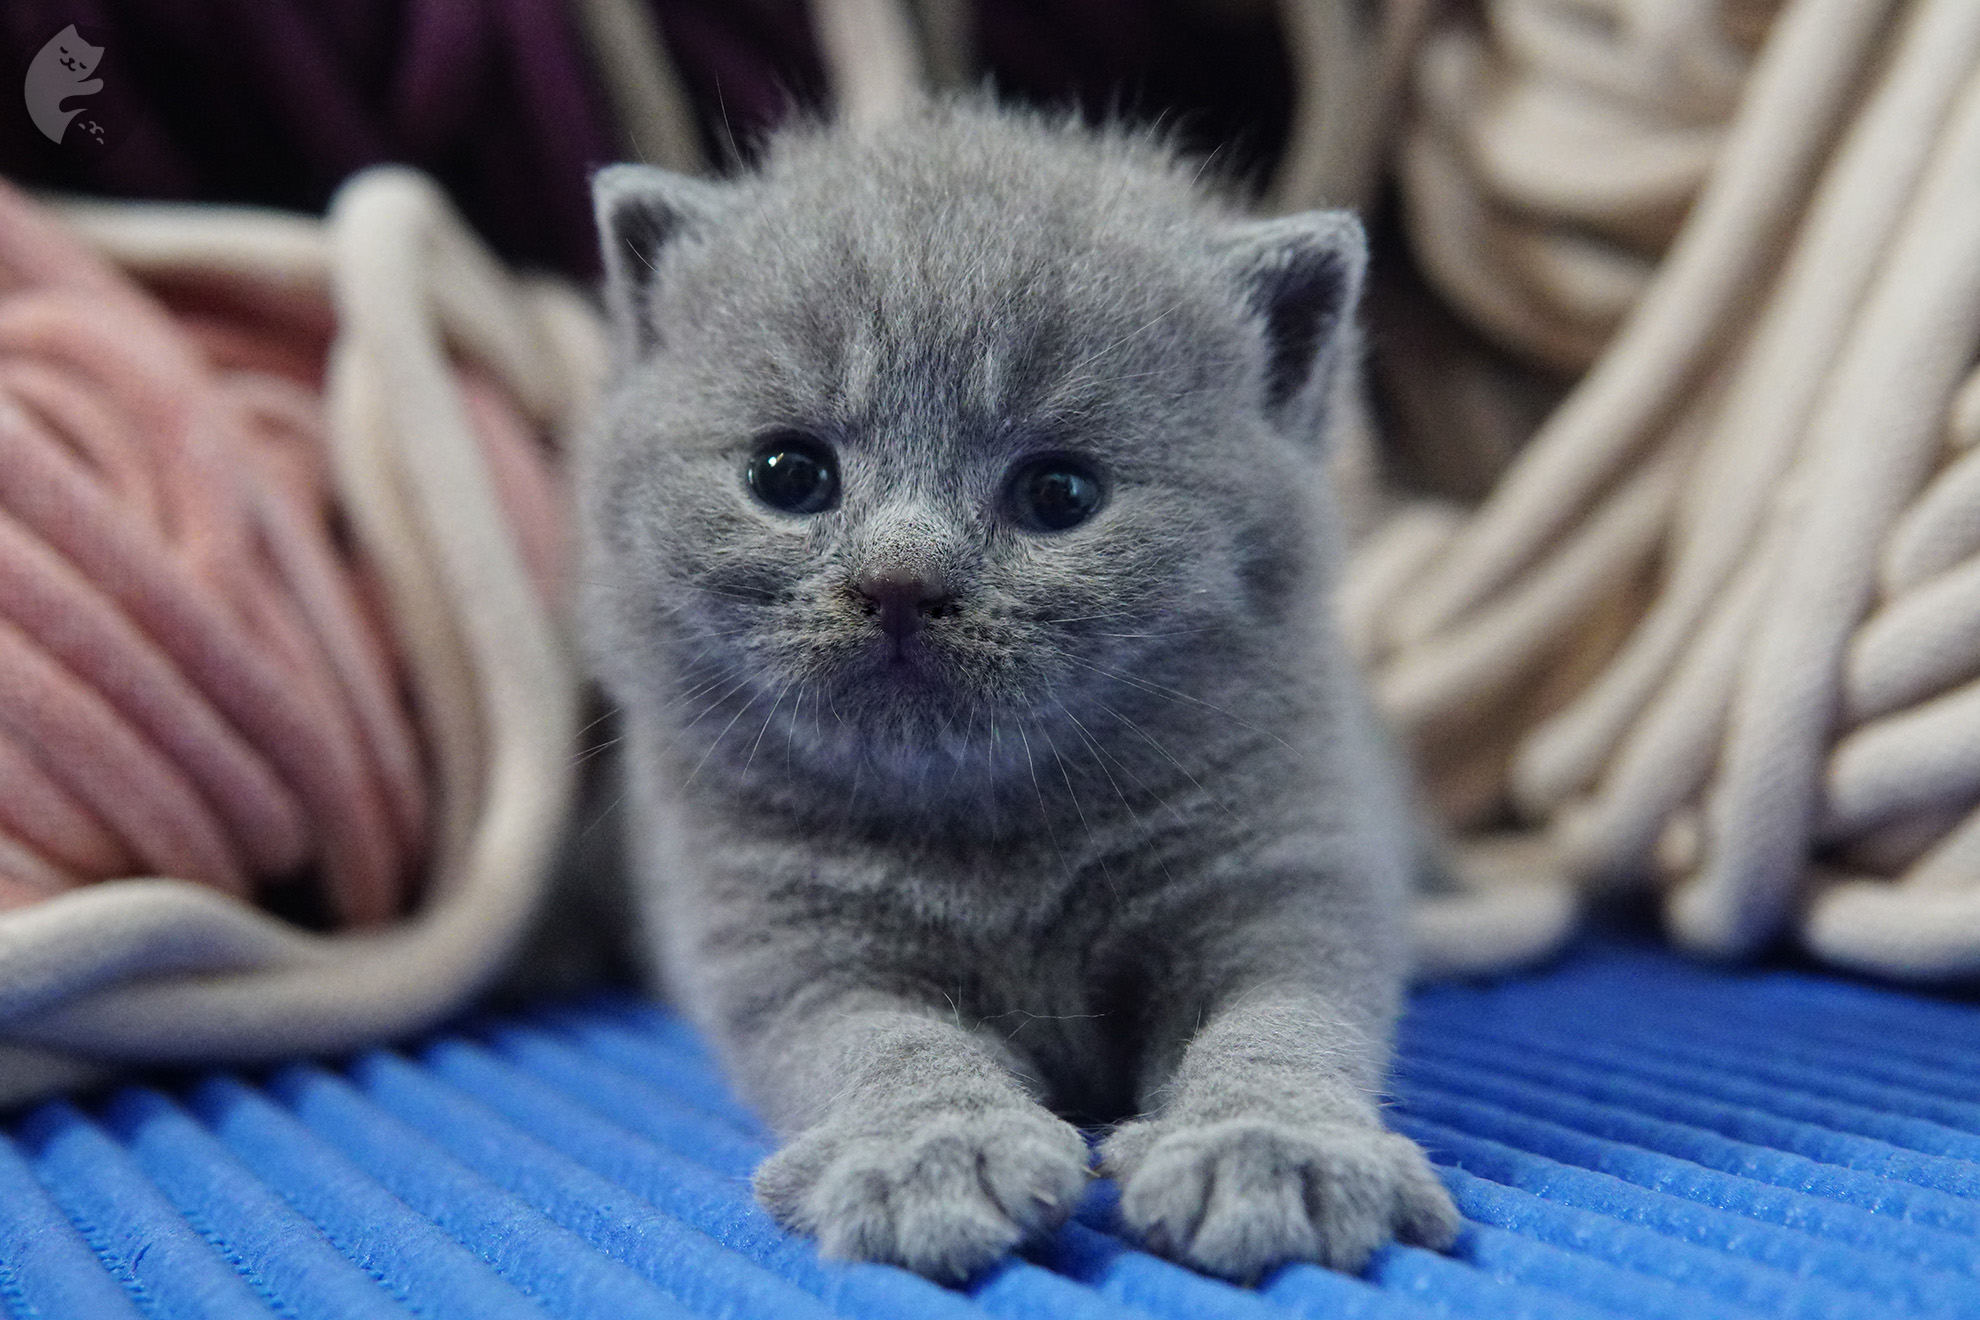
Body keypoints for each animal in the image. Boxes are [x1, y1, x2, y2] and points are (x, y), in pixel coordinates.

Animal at [574, 105, 1457, 1290]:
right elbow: (886, 1046)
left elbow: (1284, 1022)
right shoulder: (784, 951)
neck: (988, 832)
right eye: (788, 474)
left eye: (1059, 492)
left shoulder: (1287, 876)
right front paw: (935, 1152)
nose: (900, 579)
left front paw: (1267, 1150)